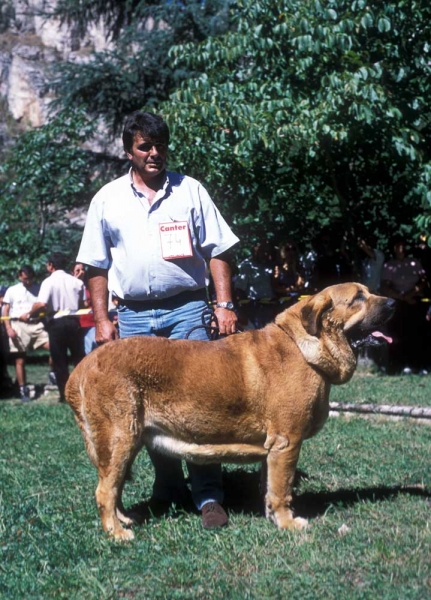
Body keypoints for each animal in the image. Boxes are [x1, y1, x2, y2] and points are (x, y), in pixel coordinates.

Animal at [65, 282, 394, 540]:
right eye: (358, 298)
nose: (393, 302)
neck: (305, 346)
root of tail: (80, 368)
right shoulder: (287, 442)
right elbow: (283, 488)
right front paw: (288, 523)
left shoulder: (273, 449)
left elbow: (269, 486)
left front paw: (272, 517)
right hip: (119, 438)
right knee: (105, 490)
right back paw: (117, 533)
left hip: (125, 443)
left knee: (114, 486)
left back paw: (123, 519)